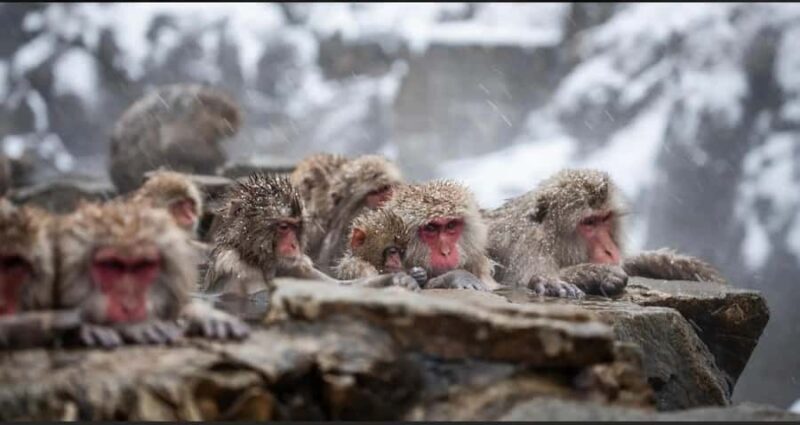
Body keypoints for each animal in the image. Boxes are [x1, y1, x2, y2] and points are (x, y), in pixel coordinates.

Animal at [202, 173, 420, 300]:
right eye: (283, 227)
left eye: (296, 226)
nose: (294, 246)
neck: (259, 260)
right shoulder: (235, 269)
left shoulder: (295, 265)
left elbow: (338, 287)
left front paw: (401, 279)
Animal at [484, 168, 726, 299]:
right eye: (589, 222)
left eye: (605, 218)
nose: (611, 251)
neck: (549, 237)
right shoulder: (527, 249)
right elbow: (516, 281)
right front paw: (592, 275)